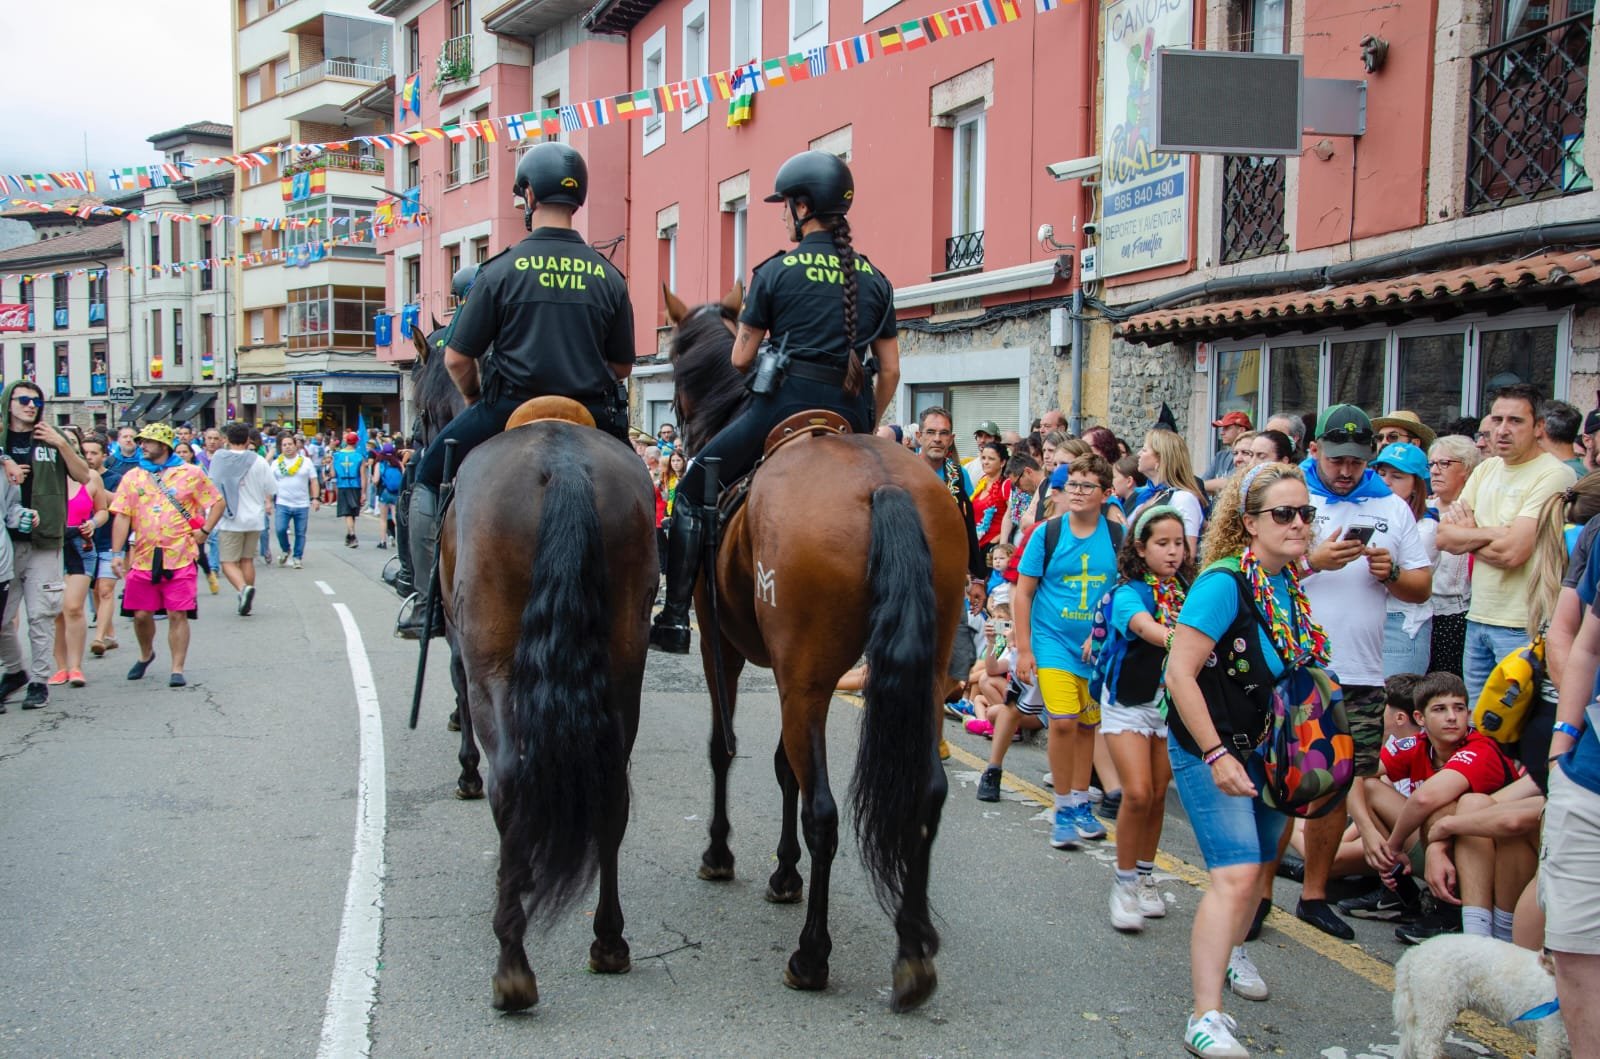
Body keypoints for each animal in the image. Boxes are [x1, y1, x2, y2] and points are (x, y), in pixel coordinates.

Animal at [438, 406, 656, 1011]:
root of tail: (564, 463)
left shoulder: (461, 649)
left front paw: (465, 775)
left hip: (493, 661)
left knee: (508, 780)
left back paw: (512, 964)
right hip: (624, 668)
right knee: (611, 791)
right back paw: (609, 942)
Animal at [668, 287, 966, 1011]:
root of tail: (884, 484)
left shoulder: (728, 648)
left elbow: (726, 748)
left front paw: (723, 855)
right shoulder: (793, 676)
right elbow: (783, 767)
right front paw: (783, 872)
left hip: (801, 676)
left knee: (826, 812)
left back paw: (811, 955)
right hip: (917, 678)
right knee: (926, 793)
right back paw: (913, 952)